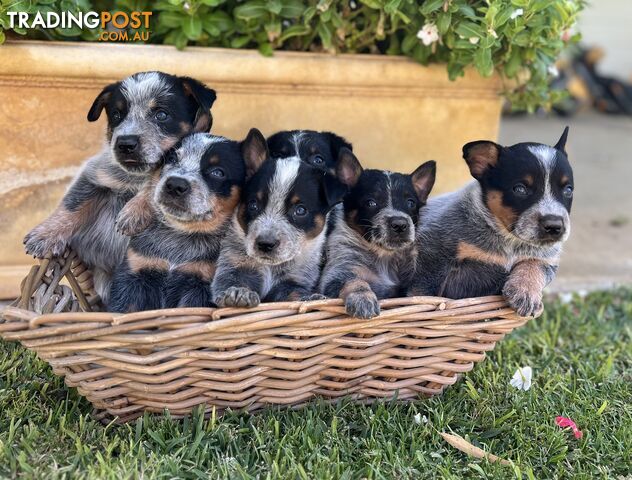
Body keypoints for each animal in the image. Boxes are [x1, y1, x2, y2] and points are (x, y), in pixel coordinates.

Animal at [23, 71, 217, 300]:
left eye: (161, 115)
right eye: (117, 115)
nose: (125, 143)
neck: (136, 178)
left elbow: (158, 182)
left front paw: (133, 211)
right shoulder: (95, 177)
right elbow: (72, 205)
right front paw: (44, 235)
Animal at [108, 129, 266, 314]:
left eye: (218, 172)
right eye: (172, 158)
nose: (175, 184)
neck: (179, 234)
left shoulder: (200, 285)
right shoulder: (134, 274)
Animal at [408, 127, 576, 316]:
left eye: (568, 190)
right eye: (520, 189)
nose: (554, 226)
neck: (508, 241)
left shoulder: (548, 259)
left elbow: (535, 264)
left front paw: (526, 293)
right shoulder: (433, 252)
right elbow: (421, 290)